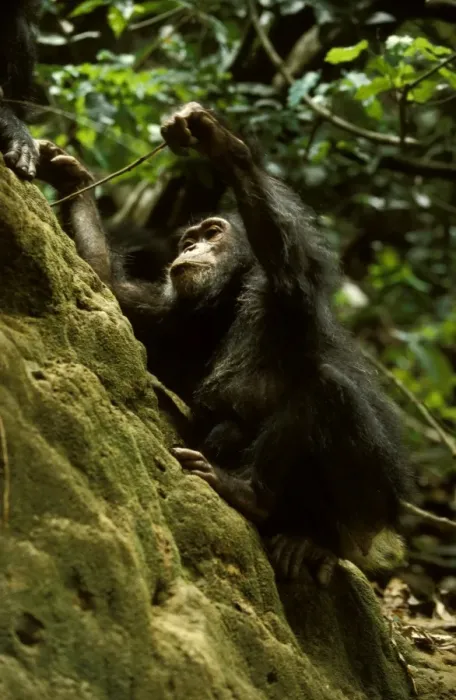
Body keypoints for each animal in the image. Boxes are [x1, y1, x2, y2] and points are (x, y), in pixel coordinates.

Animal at [35, 103, 410, 583]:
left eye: (213, 233)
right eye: (188, 239)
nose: (189, 249)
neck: (228, 299)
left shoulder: (282, 292)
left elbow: (288, 268)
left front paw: (220, 143)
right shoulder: (170, 312)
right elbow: (104, 284)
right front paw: (70, 176)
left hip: (364, 518)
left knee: (326, 389)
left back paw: (264, 506)